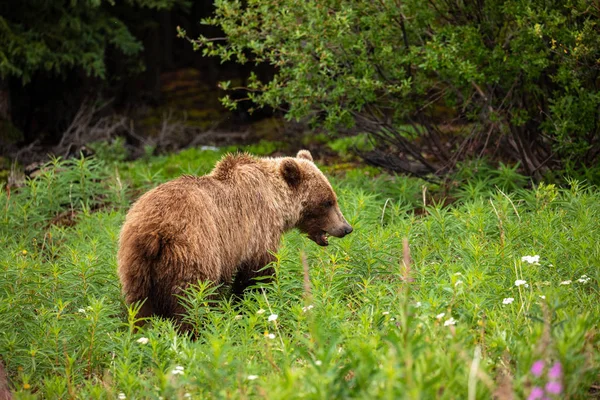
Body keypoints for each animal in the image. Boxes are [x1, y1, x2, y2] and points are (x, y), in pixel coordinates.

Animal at [117, 149, 352, 324]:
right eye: (327, 202)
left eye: (333, 198)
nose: (346, 228)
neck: (277, 201)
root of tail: (154, 231)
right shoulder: (257, 229)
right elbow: (257, 273)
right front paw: (253, 300)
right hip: (193, 250)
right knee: (191, 299)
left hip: (135, 265)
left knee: (140, 306)